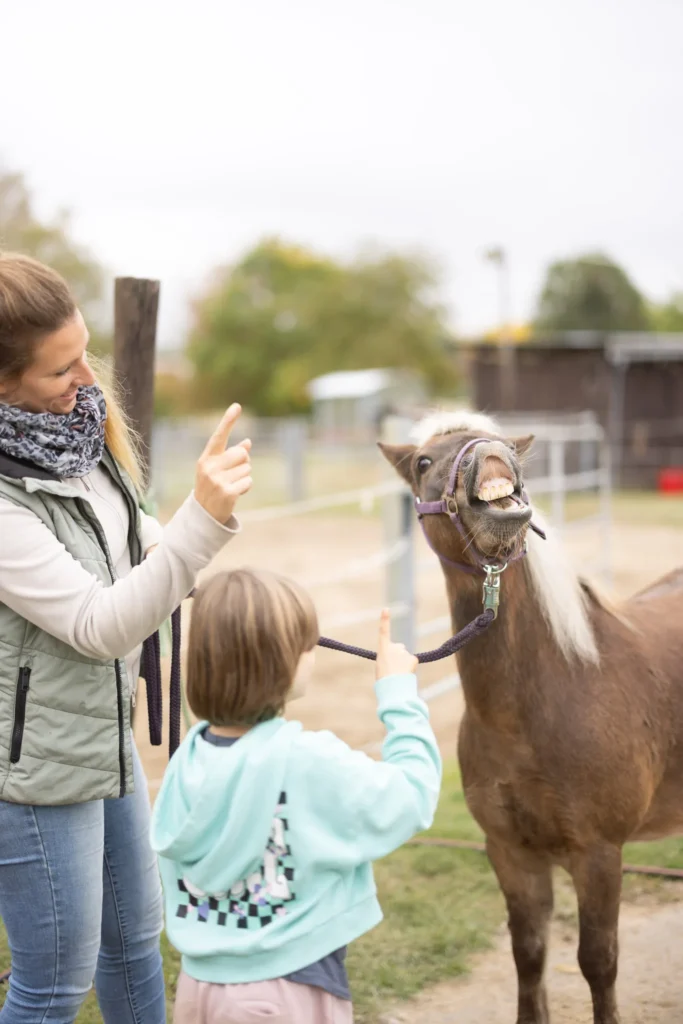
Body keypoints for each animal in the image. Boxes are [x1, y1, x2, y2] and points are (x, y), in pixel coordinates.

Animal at [380, 410, 683, 1024]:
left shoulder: (599, 855)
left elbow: (598, 961)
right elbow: (530, 953)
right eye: (423, 461)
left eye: (504, 443)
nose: (490, 454)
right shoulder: (510, 853)